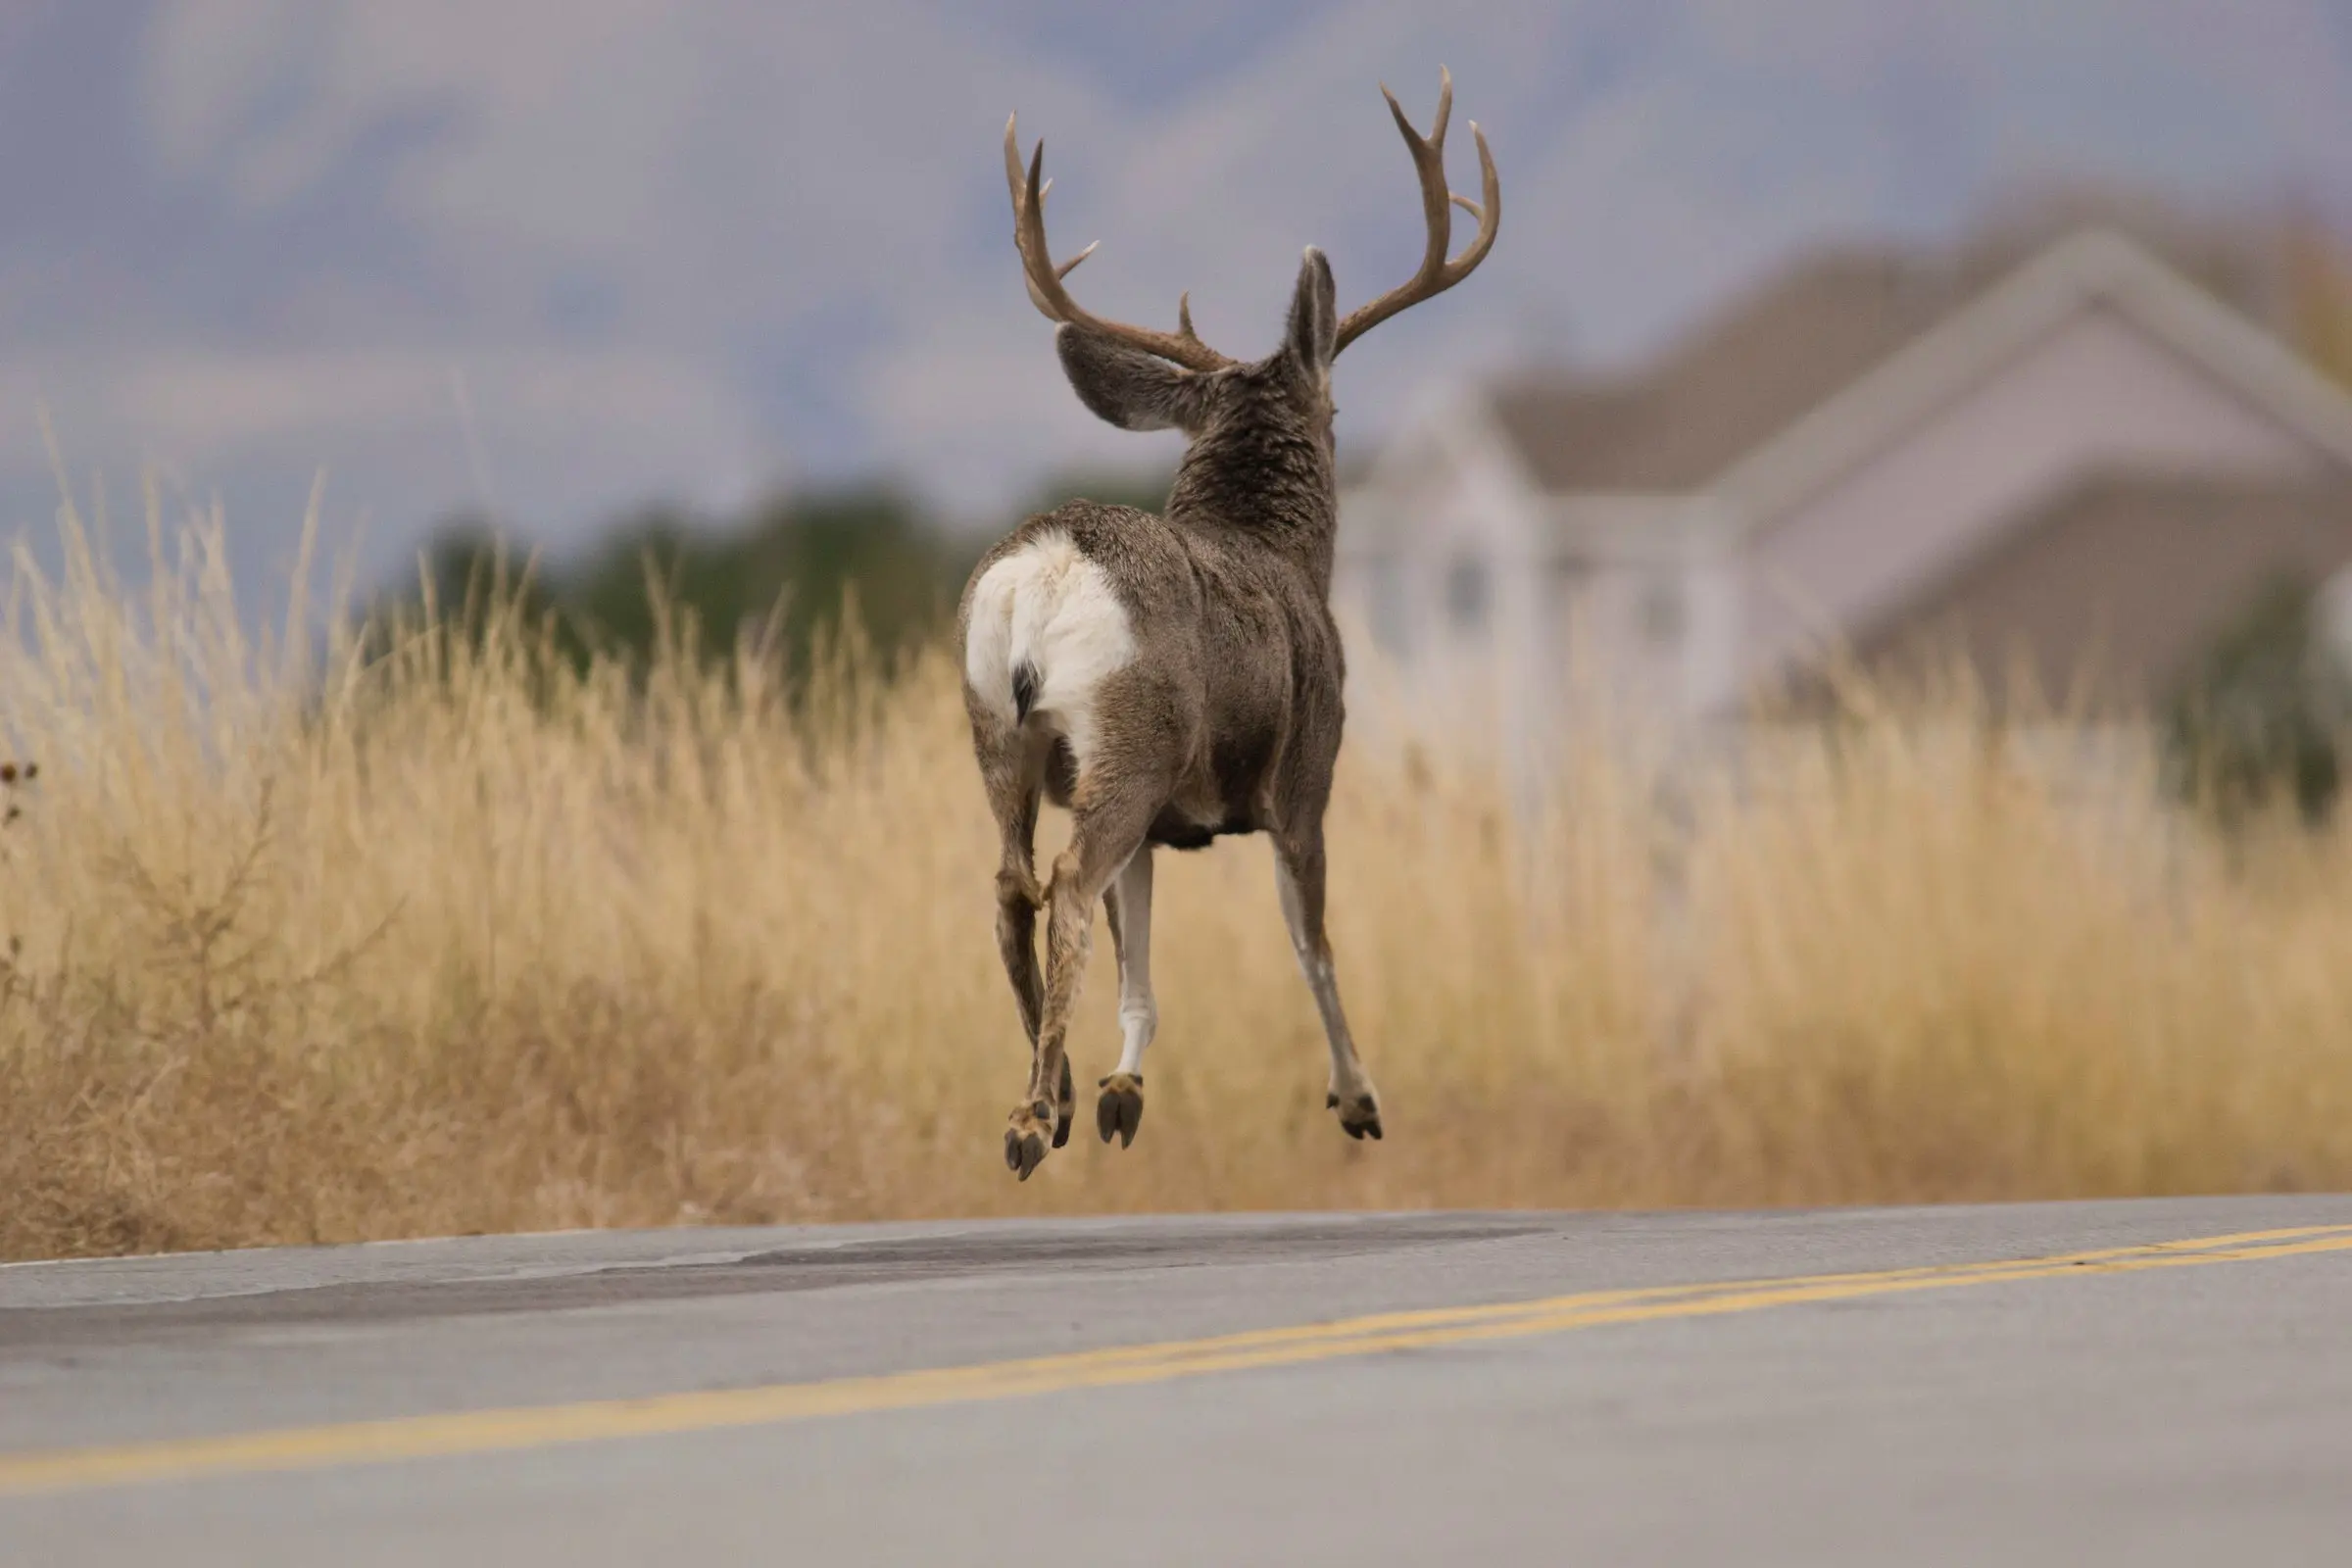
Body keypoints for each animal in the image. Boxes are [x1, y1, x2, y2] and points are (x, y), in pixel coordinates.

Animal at [959, 70, 1495, 1175]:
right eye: (1336, 412)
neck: (1275, 549)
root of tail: (1048, 568)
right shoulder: (1307, 778)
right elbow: (1313, 944)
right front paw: (1358, 1097)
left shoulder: (1168, 825)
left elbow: (1144, 971)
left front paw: (1121, 1092)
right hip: (1131, 737)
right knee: (1066, 883)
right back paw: (1030, 1120)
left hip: (1001, 729)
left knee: (1010, 885)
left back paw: (1054, 1096)